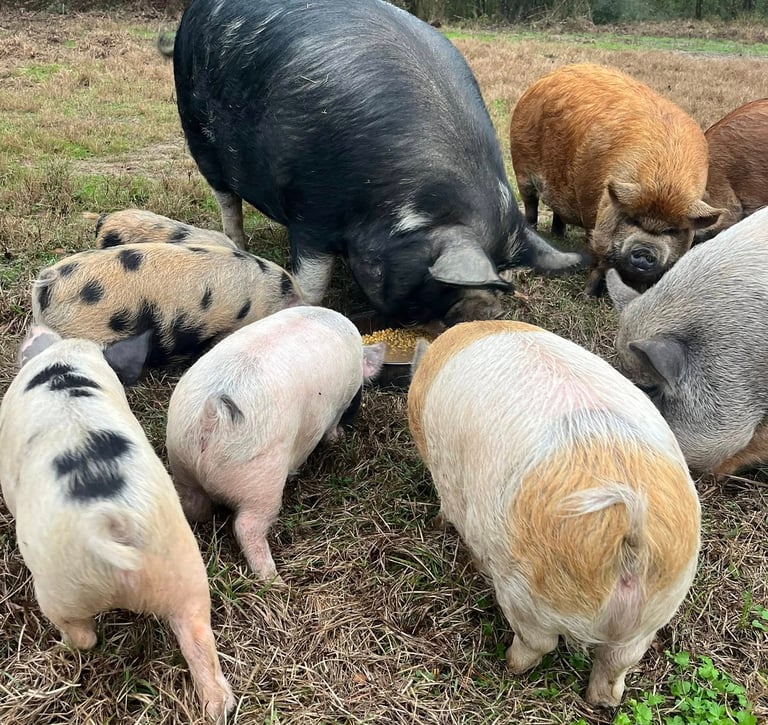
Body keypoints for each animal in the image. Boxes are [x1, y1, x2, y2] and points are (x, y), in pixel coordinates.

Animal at [0, 325, 235, 723]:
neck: (64, 364)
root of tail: (113, 526)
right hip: (184, 568)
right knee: (200, 640)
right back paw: (218, 708)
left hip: (60, 587)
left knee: (82, 635)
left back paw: (64, 646)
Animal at [157, 0, 586, 326]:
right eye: (437, 284)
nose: (485, 310)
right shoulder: (312, 209)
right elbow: (312, 280)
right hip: (195, 125)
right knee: (225, 197)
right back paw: (238, 244)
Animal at [165, 306, 386, 581]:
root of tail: (210, 417)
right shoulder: (340, 403)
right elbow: (332, 425)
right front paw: (338, 437)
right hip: (260, 478)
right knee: (246, 526)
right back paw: (274, 578)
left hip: (181, 459)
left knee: (191, 504)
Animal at [408, 320, 700, 707]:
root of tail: (632, 541)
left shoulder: (448, 476)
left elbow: (450, 508)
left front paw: (439, 526)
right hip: (659, 606)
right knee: (618, 664)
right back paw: (601, 703)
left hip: (528, 593)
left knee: (538, 644)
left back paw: (508, 664)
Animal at [509, 63, 724, 295]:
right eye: (631, 219)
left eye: (672, 230)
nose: (645, 250)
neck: (663, 181)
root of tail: (547, 77)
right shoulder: (598, 226)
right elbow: (601, 264)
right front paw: (588, 296)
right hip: (521, 167)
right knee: (531, 204)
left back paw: (560, 236)